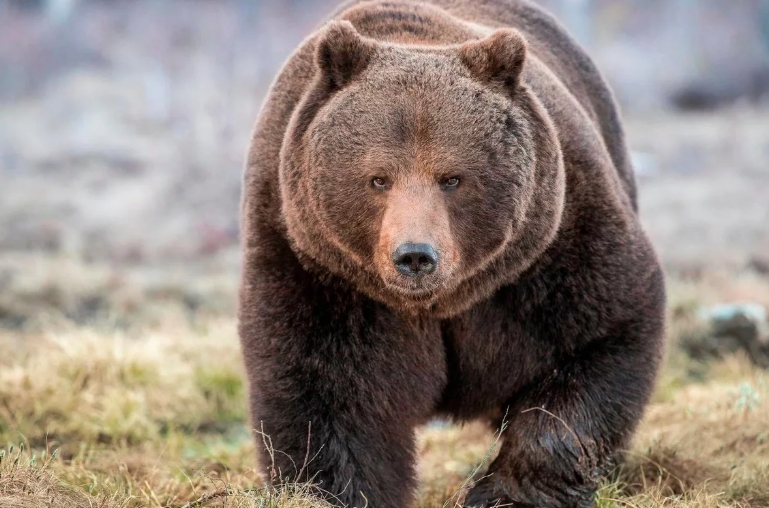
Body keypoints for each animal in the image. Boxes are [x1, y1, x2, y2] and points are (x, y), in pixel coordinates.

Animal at [238, 1, 666, 507]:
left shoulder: (553, 244)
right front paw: (337, 490)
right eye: (378, 178)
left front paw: (506, 493)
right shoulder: (313, 261)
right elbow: (326, 390)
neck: (439, 303)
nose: (415, 256)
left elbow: (598, 336)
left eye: (452, 178)